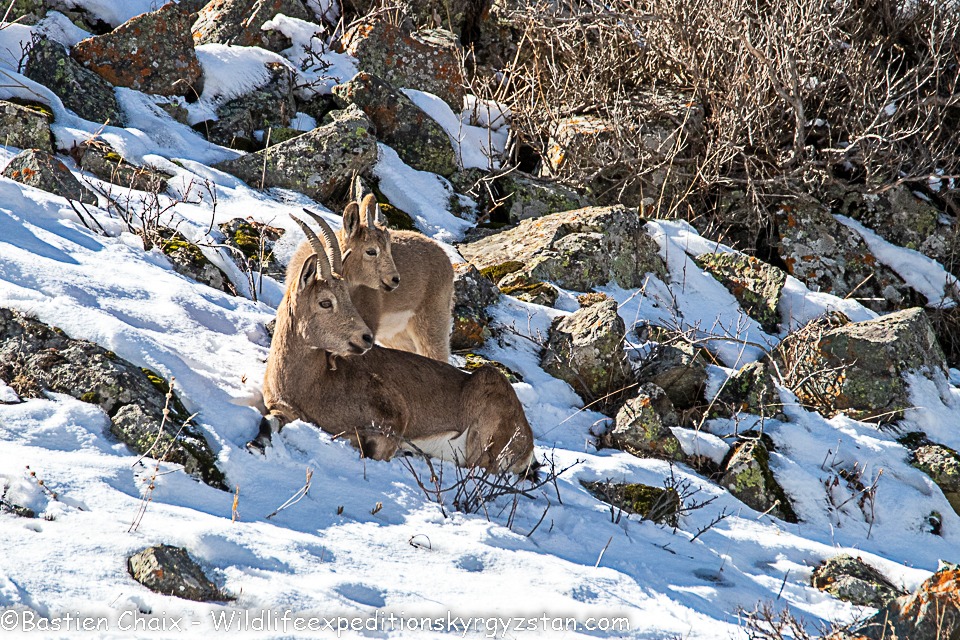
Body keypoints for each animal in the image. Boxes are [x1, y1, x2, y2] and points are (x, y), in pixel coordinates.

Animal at [257, 217, 536, 474]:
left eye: (347, 297)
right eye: (325, 302)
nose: (366, 338)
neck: (312, 383)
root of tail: (528, 443)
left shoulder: (392, 422)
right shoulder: (283, 409)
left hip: (484, 427)